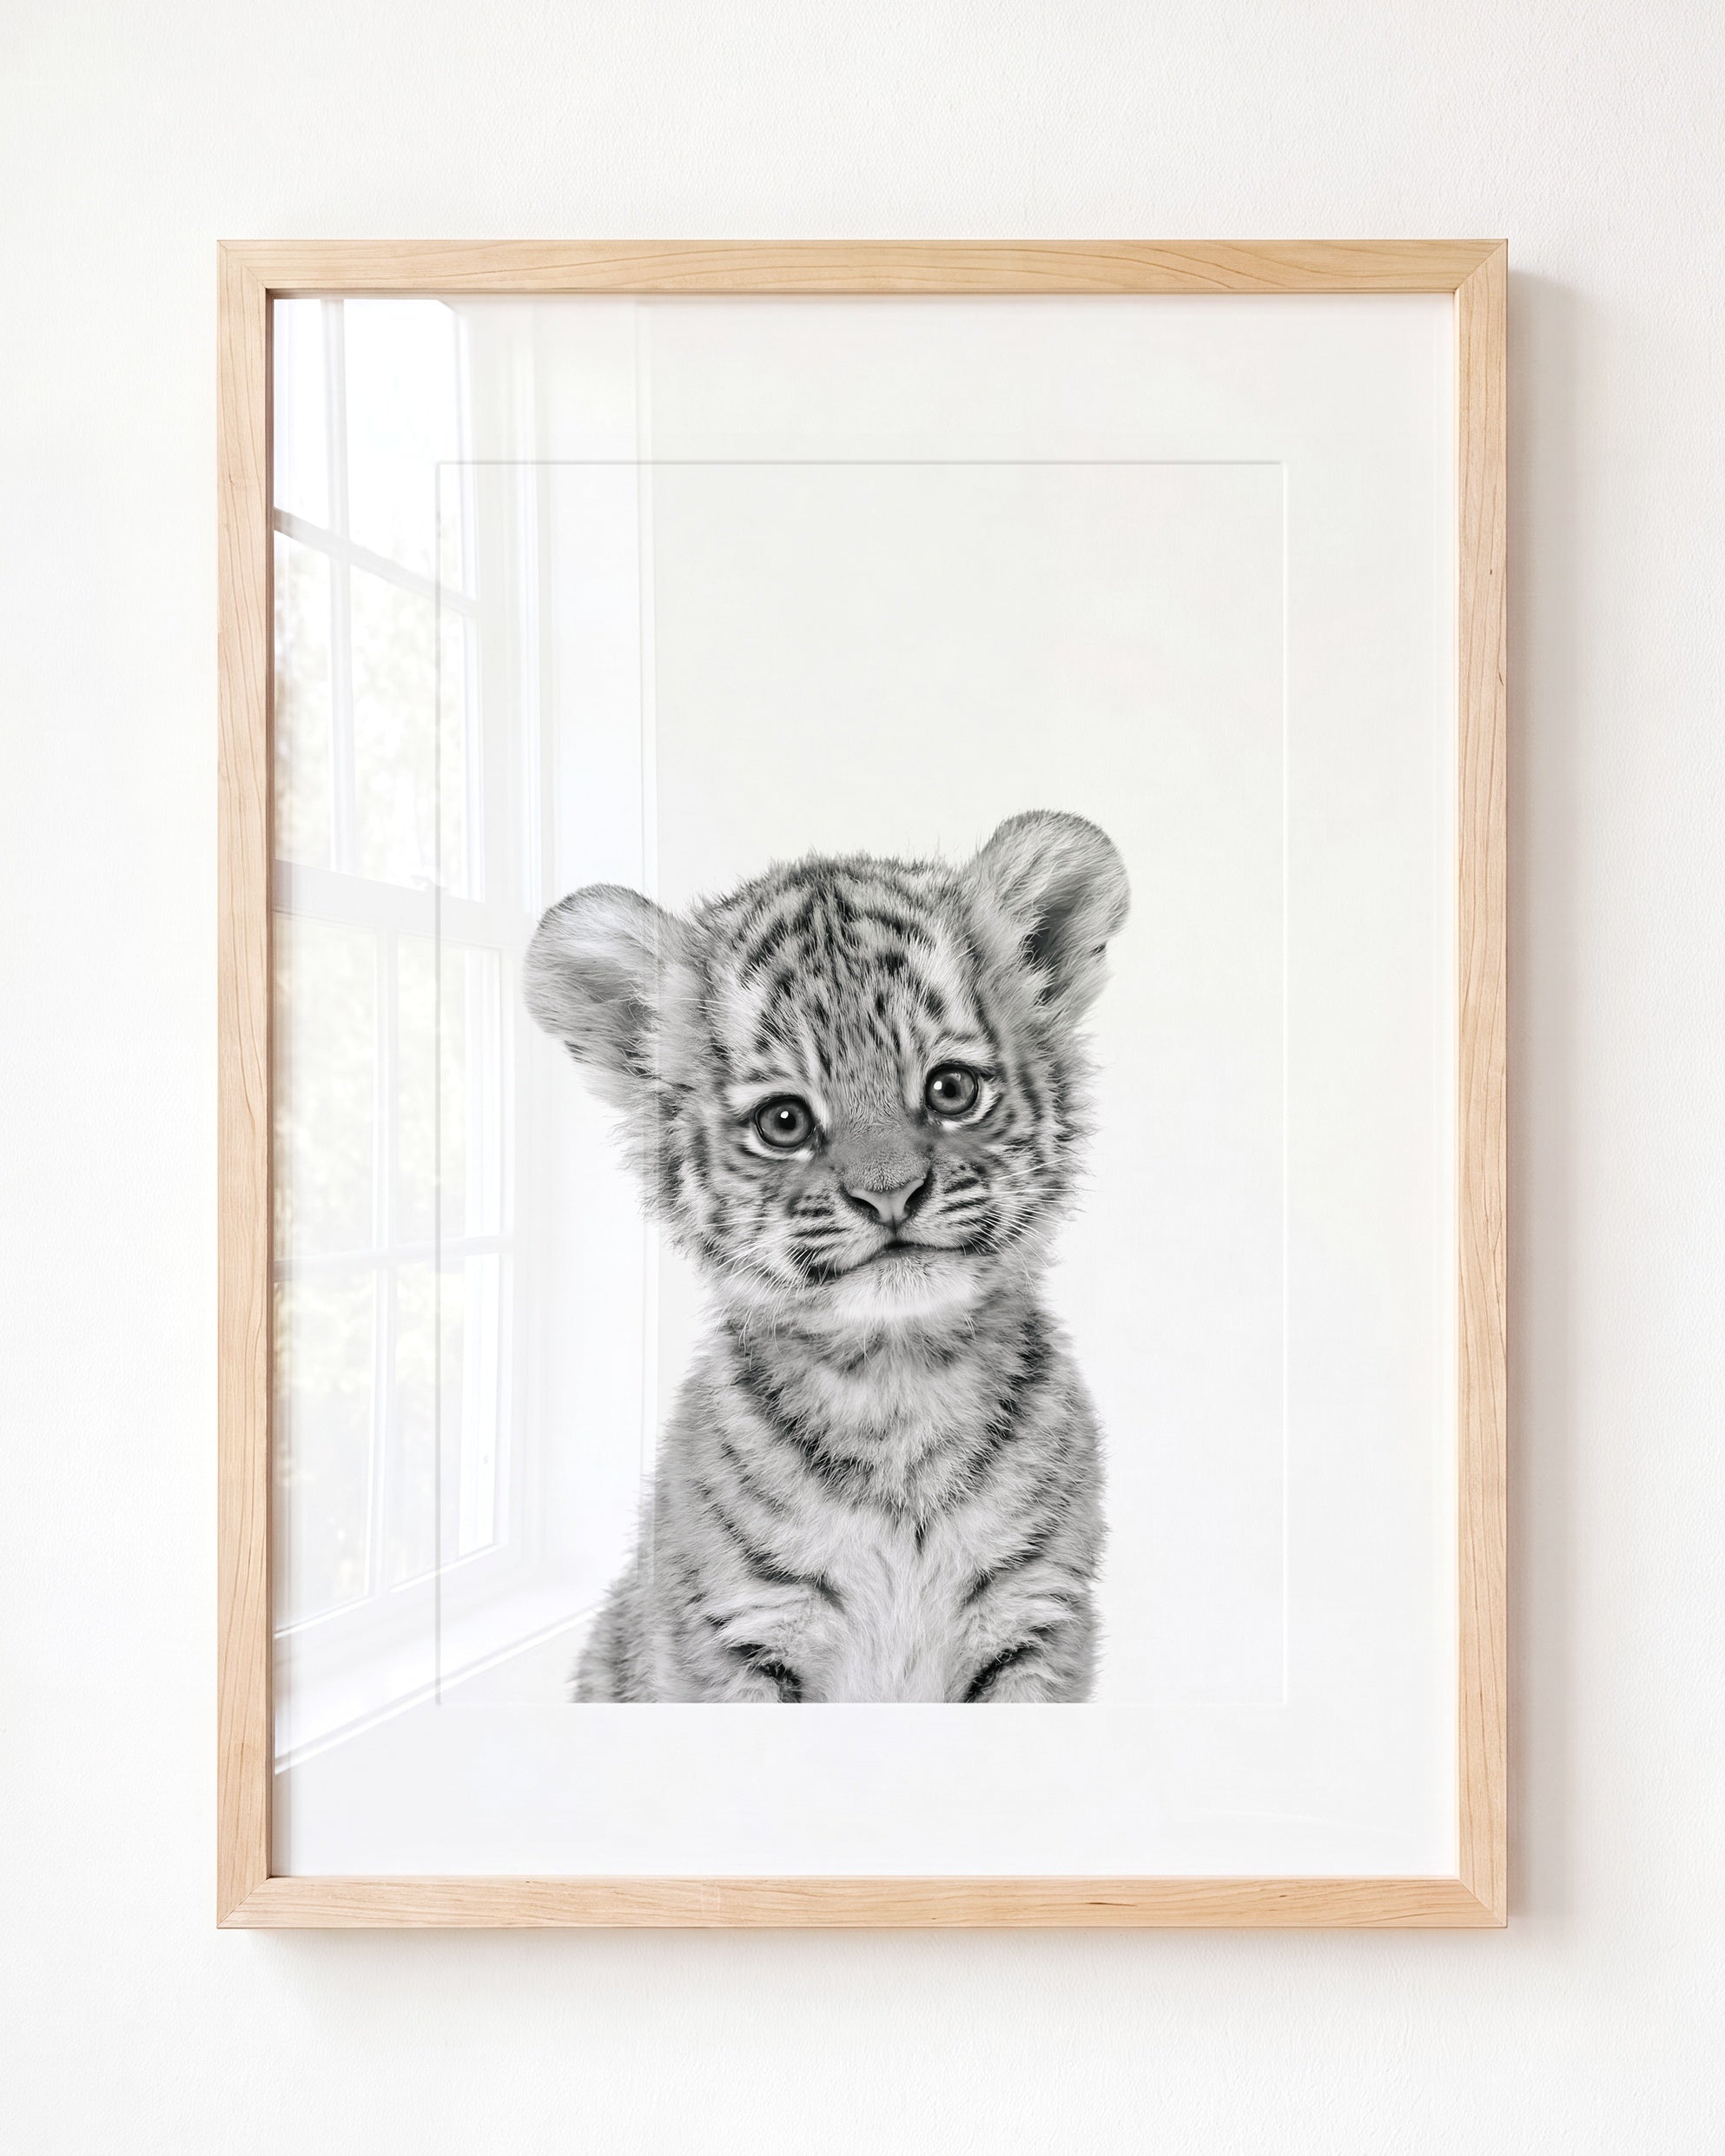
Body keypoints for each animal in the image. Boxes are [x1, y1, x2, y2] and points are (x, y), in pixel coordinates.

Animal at [524, 809, 1129, 1702]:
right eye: (784, 1122)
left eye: (951, 1089)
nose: (890, 1195)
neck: (900, 1390)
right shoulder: (738, 1638)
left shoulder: (1035, 1622)